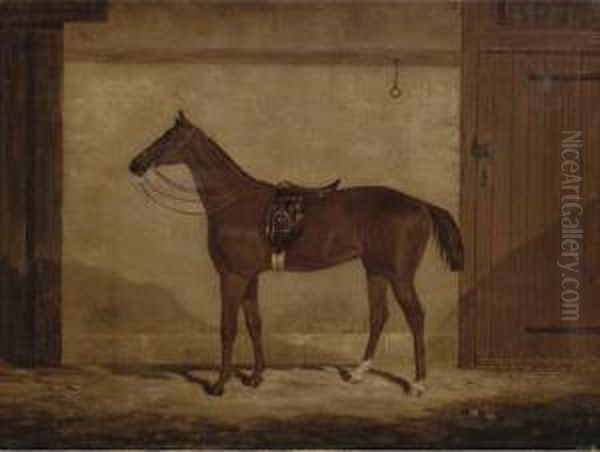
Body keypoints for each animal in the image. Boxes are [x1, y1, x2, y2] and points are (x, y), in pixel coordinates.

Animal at [129, 112, 462, 396]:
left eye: (169, 139)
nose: (135, 164)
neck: (234, 200)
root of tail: (421, 204)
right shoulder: (250, 278)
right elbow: (254, 325)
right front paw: (255, 377)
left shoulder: (232, 277)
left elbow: (228, 329)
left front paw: (220, 385)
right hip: (376, 271)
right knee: (379, 315)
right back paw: (358, 373)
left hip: (400, 275)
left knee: (416, 317)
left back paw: (418, 384)